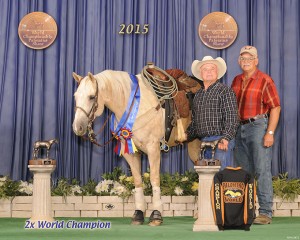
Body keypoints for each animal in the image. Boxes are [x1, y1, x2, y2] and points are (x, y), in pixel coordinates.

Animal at [71, 69, 200, 225]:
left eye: (91, 97)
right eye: (76, 96)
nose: (78, 127)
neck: (136, 106)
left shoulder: (153, 148)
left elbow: (154, 179)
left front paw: (156, 215)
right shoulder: (130, 152)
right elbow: (138, 181)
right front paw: (138, 214)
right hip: (193, 146)